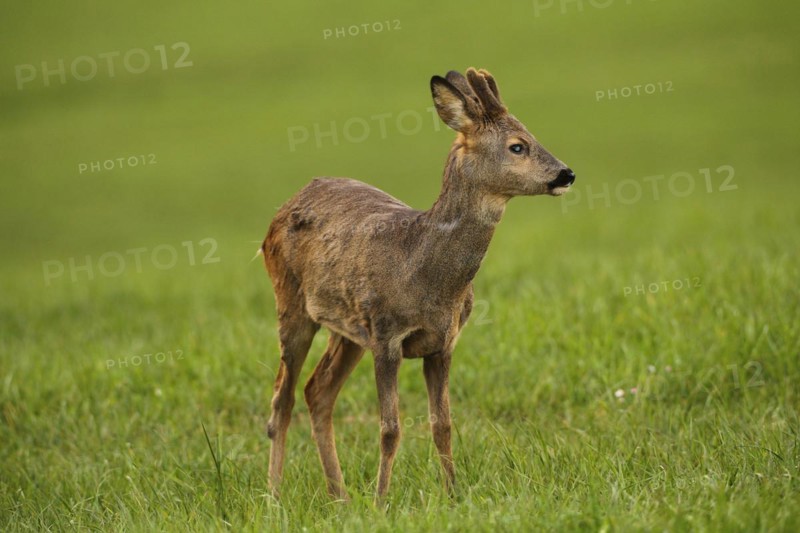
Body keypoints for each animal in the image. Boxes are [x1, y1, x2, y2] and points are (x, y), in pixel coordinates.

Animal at [261, 67, 575, 502]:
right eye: (517, 146)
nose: (567, 174)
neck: (423, 271)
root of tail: (282, 209)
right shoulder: (387, 336)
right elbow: (390, 429)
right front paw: (381, 502)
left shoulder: (443, 342)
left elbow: (442, 425)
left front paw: (454, 495)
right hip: (290, 302)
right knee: (282, 398)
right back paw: (275, 497)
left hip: (348, 330)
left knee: (317, 391)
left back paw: (339, 497)